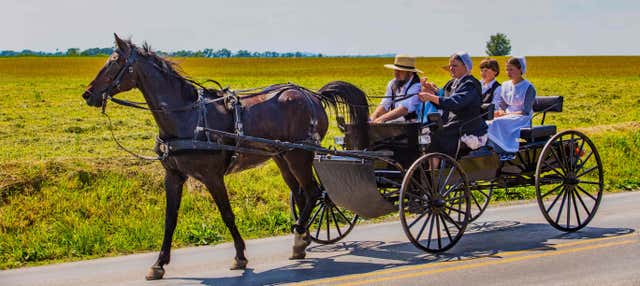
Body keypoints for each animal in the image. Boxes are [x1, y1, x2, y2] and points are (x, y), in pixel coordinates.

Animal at [82, 34, 368, 280]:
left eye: (115, 62)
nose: (88, 94)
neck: (186, 116)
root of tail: (311, 95)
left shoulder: (212, 176)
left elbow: (227, 214)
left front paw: (240, 256)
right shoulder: (173, 176)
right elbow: (170, 220)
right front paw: (159, 264)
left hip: (300, 154)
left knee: (313, 192)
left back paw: (299, 236)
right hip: (282, 156)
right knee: (301, 195)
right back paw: (302, 239)